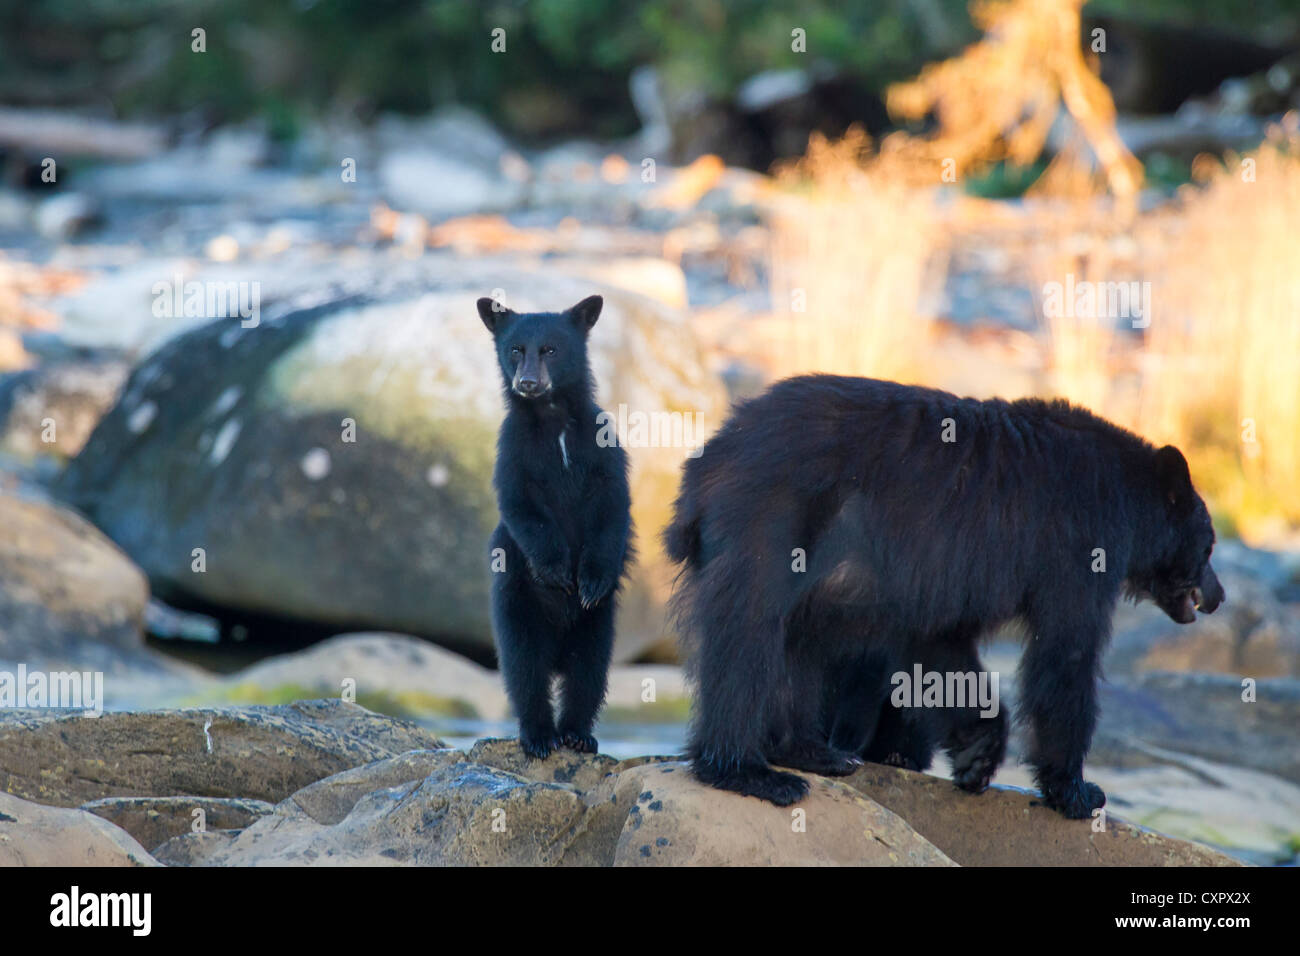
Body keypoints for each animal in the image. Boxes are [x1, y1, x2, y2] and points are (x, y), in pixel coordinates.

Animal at [479, 294, 633, 758]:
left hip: (598, 625)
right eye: (515, 349)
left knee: (589, 672)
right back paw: (540, 737)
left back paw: (578, 734)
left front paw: (590, 581)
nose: (528, 382)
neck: (553, 421)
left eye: (550, 349)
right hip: (517, 607)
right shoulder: (512, 450)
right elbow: (522, 507)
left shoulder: (603, 447)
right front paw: (557, 571)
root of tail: (558, 649)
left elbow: (613, 505)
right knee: (524, 671)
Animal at [664, 373, 1224, 817]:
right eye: (1210, 544)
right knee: (749, 633)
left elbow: (936, 645)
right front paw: (1079, 792)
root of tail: (707, 460)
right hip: (774, 516)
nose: (1218, 597)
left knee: (799, 645)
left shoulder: (936, 579)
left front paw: (975, 756)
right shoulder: (1078, 547)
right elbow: (1065, 658)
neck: (1127, 496)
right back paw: (750, 772)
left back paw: (815, 752)